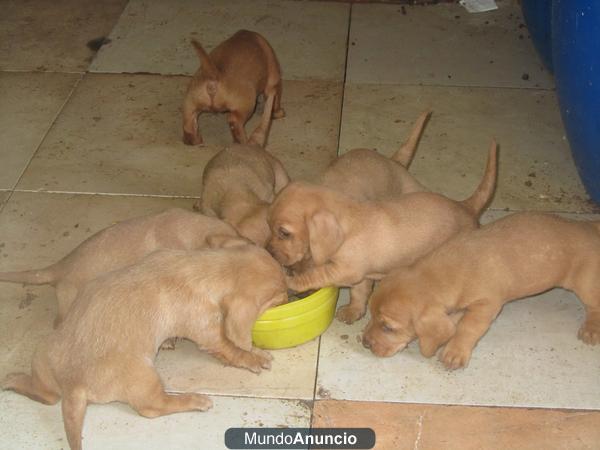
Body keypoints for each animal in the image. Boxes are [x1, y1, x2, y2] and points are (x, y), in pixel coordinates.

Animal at [1, 241, 288, 450]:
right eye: (280, 298)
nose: (291, 296)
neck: (201, 269)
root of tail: (73, 386)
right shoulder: (207, 331)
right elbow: (230, 348)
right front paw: (254, 357)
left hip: (42, 354)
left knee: (46, 395)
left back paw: (12, 380)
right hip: (145, 375)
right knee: (153, 407)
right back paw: (195, 400)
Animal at [270, 142, 500, 322]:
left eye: (284, 232)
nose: (269, 252)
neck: (348, 219)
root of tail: (466, 207)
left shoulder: (345, 270)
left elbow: (314, 276)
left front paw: (291, 282)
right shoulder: (362, 275)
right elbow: (359, 294)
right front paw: (353, 312)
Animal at [360, 211, 600, 370]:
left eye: (388, 327)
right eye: (370, 315)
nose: (364, 343)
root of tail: (590, 226)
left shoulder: (486, 305)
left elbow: (467, 328)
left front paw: (455, 351)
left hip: (585, 284)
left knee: (594, 305)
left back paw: (590, 329)